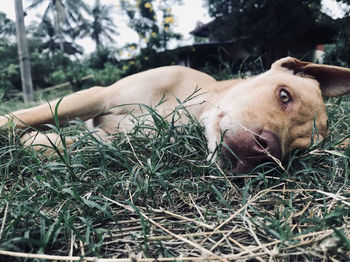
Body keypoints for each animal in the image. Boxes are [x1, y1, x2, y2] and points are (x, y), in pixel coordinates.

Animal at [0, 56, 350, 173]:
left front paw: (39, 143)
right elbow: (21, 117)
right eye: (284, 95)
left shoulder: (118, 138)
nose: (267, 153)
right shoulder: (99, 95)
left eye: (298, 152)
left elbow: (76, 144)